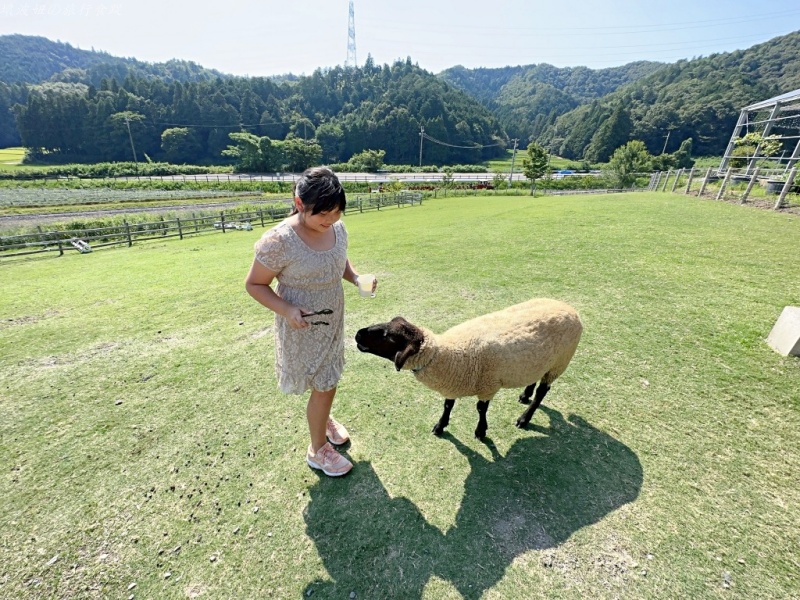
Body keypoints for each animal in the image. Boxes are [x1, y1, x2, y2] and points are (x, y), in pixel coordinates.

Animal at [356, 298, 580, 438]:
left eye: (388, 336)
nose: (358, 333)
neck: (445, 355)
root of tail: (569, 307)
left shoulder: (488, 385)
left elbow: (481, 409)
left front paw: (481, 431)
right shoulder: (452, 384)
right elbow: (448, 405)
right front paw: (440, 425)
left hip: (559, 363)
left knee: (543, 391)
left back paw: (524, 418)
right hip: (540, 361)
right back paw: (525, 395)